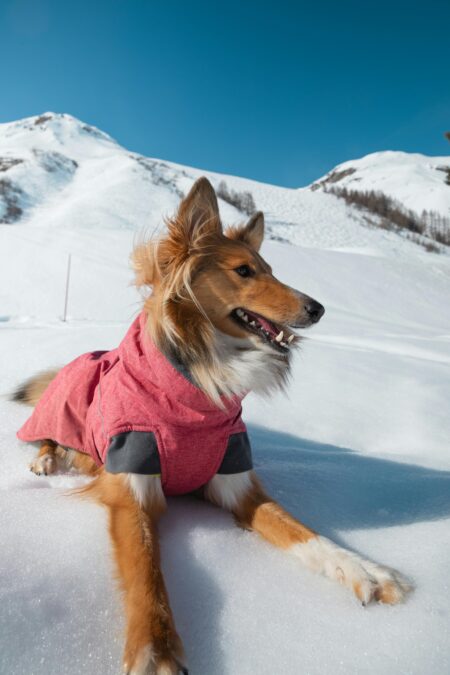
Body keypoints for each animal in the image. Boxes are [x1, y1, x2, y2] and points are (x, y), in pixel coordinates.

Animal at [13, 178, 412, 675]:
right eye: (244, 271)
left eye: (271, 270)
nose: (318, 309)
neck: (200, 391)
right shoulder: (131, 487)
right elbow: (146, 572)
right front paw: (155, 649)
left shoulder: (235, 481)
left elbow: (305, 532)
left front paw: (361, 568)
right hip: (64, 406)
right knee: (47, 435)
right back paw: (46, 461)